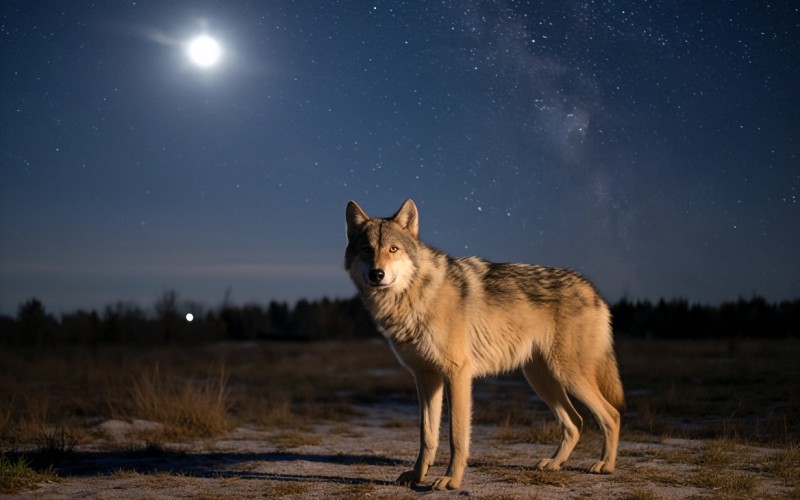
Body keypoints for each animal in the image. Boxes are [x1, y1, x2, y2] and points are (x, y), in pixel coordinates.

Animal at [344, 199, 624, 492]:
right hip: (542, 380)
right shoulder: (426, 378)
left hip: (568, 375)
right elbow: (427, 435)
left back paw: (605, 465)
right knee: (575, 422)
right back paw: (554, 463)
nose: (377, 274)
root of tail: (593, 289)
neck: (415, 295)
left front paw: (451, 480)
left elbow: (456, 435)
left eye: (393, 249)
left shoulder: (457, 374)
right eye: (366, 249)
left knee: (611, 415)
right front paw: (417, 476)